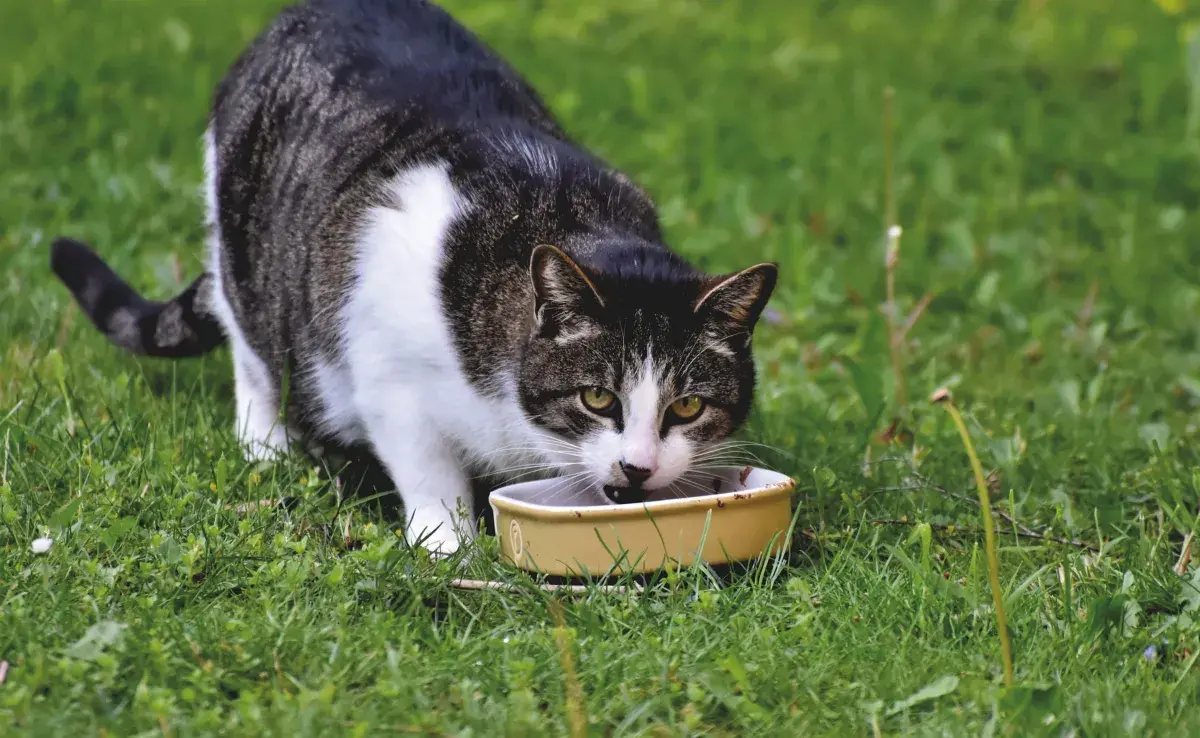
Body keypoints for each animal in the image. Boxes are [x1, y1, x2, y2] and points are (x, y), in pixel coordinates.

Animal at [49, 0, 777, 554]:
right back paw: (266, 443)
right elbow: (429, 471)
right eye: (598, 398)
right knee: (250, 347)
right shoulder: (387, 375)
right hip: (245, 255)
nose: (637, 465)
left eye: (687, 407)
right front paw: (448, 545)